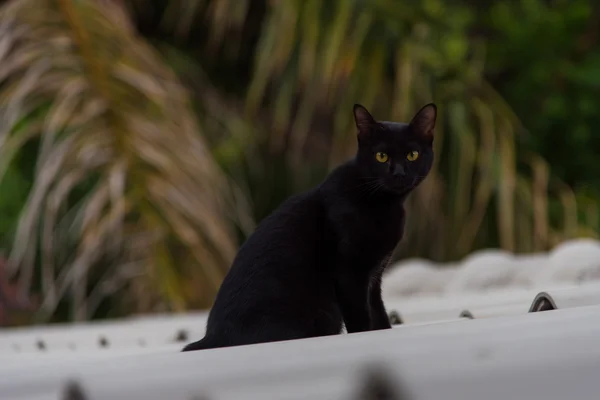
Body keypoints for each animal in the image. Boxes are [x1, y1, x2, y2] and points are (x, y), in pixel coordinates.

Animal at [182, 102, 436, 350]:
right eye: (381, 156)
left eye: (412, 154)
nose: (399, 173)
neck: (384, 204)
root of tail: (212, 338)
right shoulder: (350, 273)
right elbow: (361, 319)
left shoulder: (374, 277)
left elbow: (379, 314)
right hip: (322, 315)